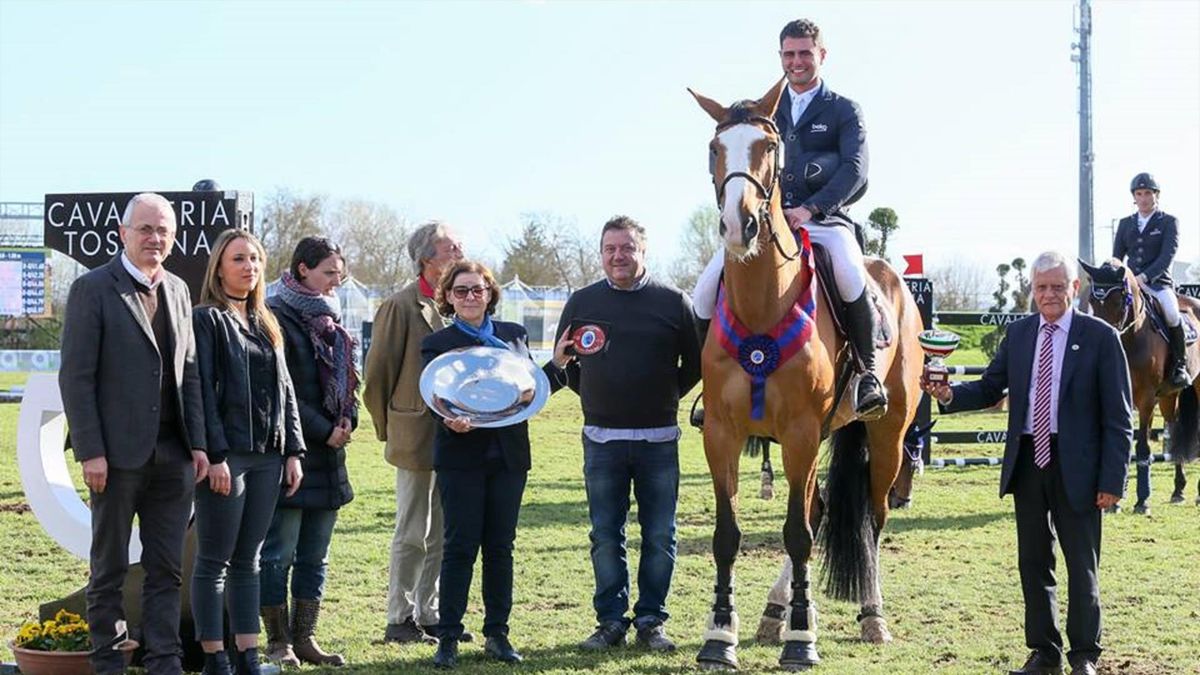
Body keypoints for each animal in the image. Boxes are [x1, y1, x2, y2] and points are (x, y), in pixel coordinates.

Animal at [691, 78, 921, 667]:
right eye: (714, 149)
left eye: (769, 147)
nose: (738, 226)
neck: (761, 304)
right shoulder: (722, 434)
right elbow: (729, 535)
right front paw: (720, 636)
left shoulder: (798, 432)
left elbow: (797, 534)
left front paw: (801, 642)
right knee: (818, 511)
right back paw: (779, 610)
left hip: (886, 434)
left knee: (872, 517)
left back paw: (871, 615)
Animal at [1080, 257, 1200, 504]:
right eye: (1093, 301)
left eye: (1118, 301)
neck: (1132, 338)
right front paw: (1116, 500)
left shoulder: (1146, 399)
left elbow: (1142, 445)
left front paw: (1142, 500)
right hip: (1169, 395)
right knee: (1173, 426)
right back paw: (1178, 489)